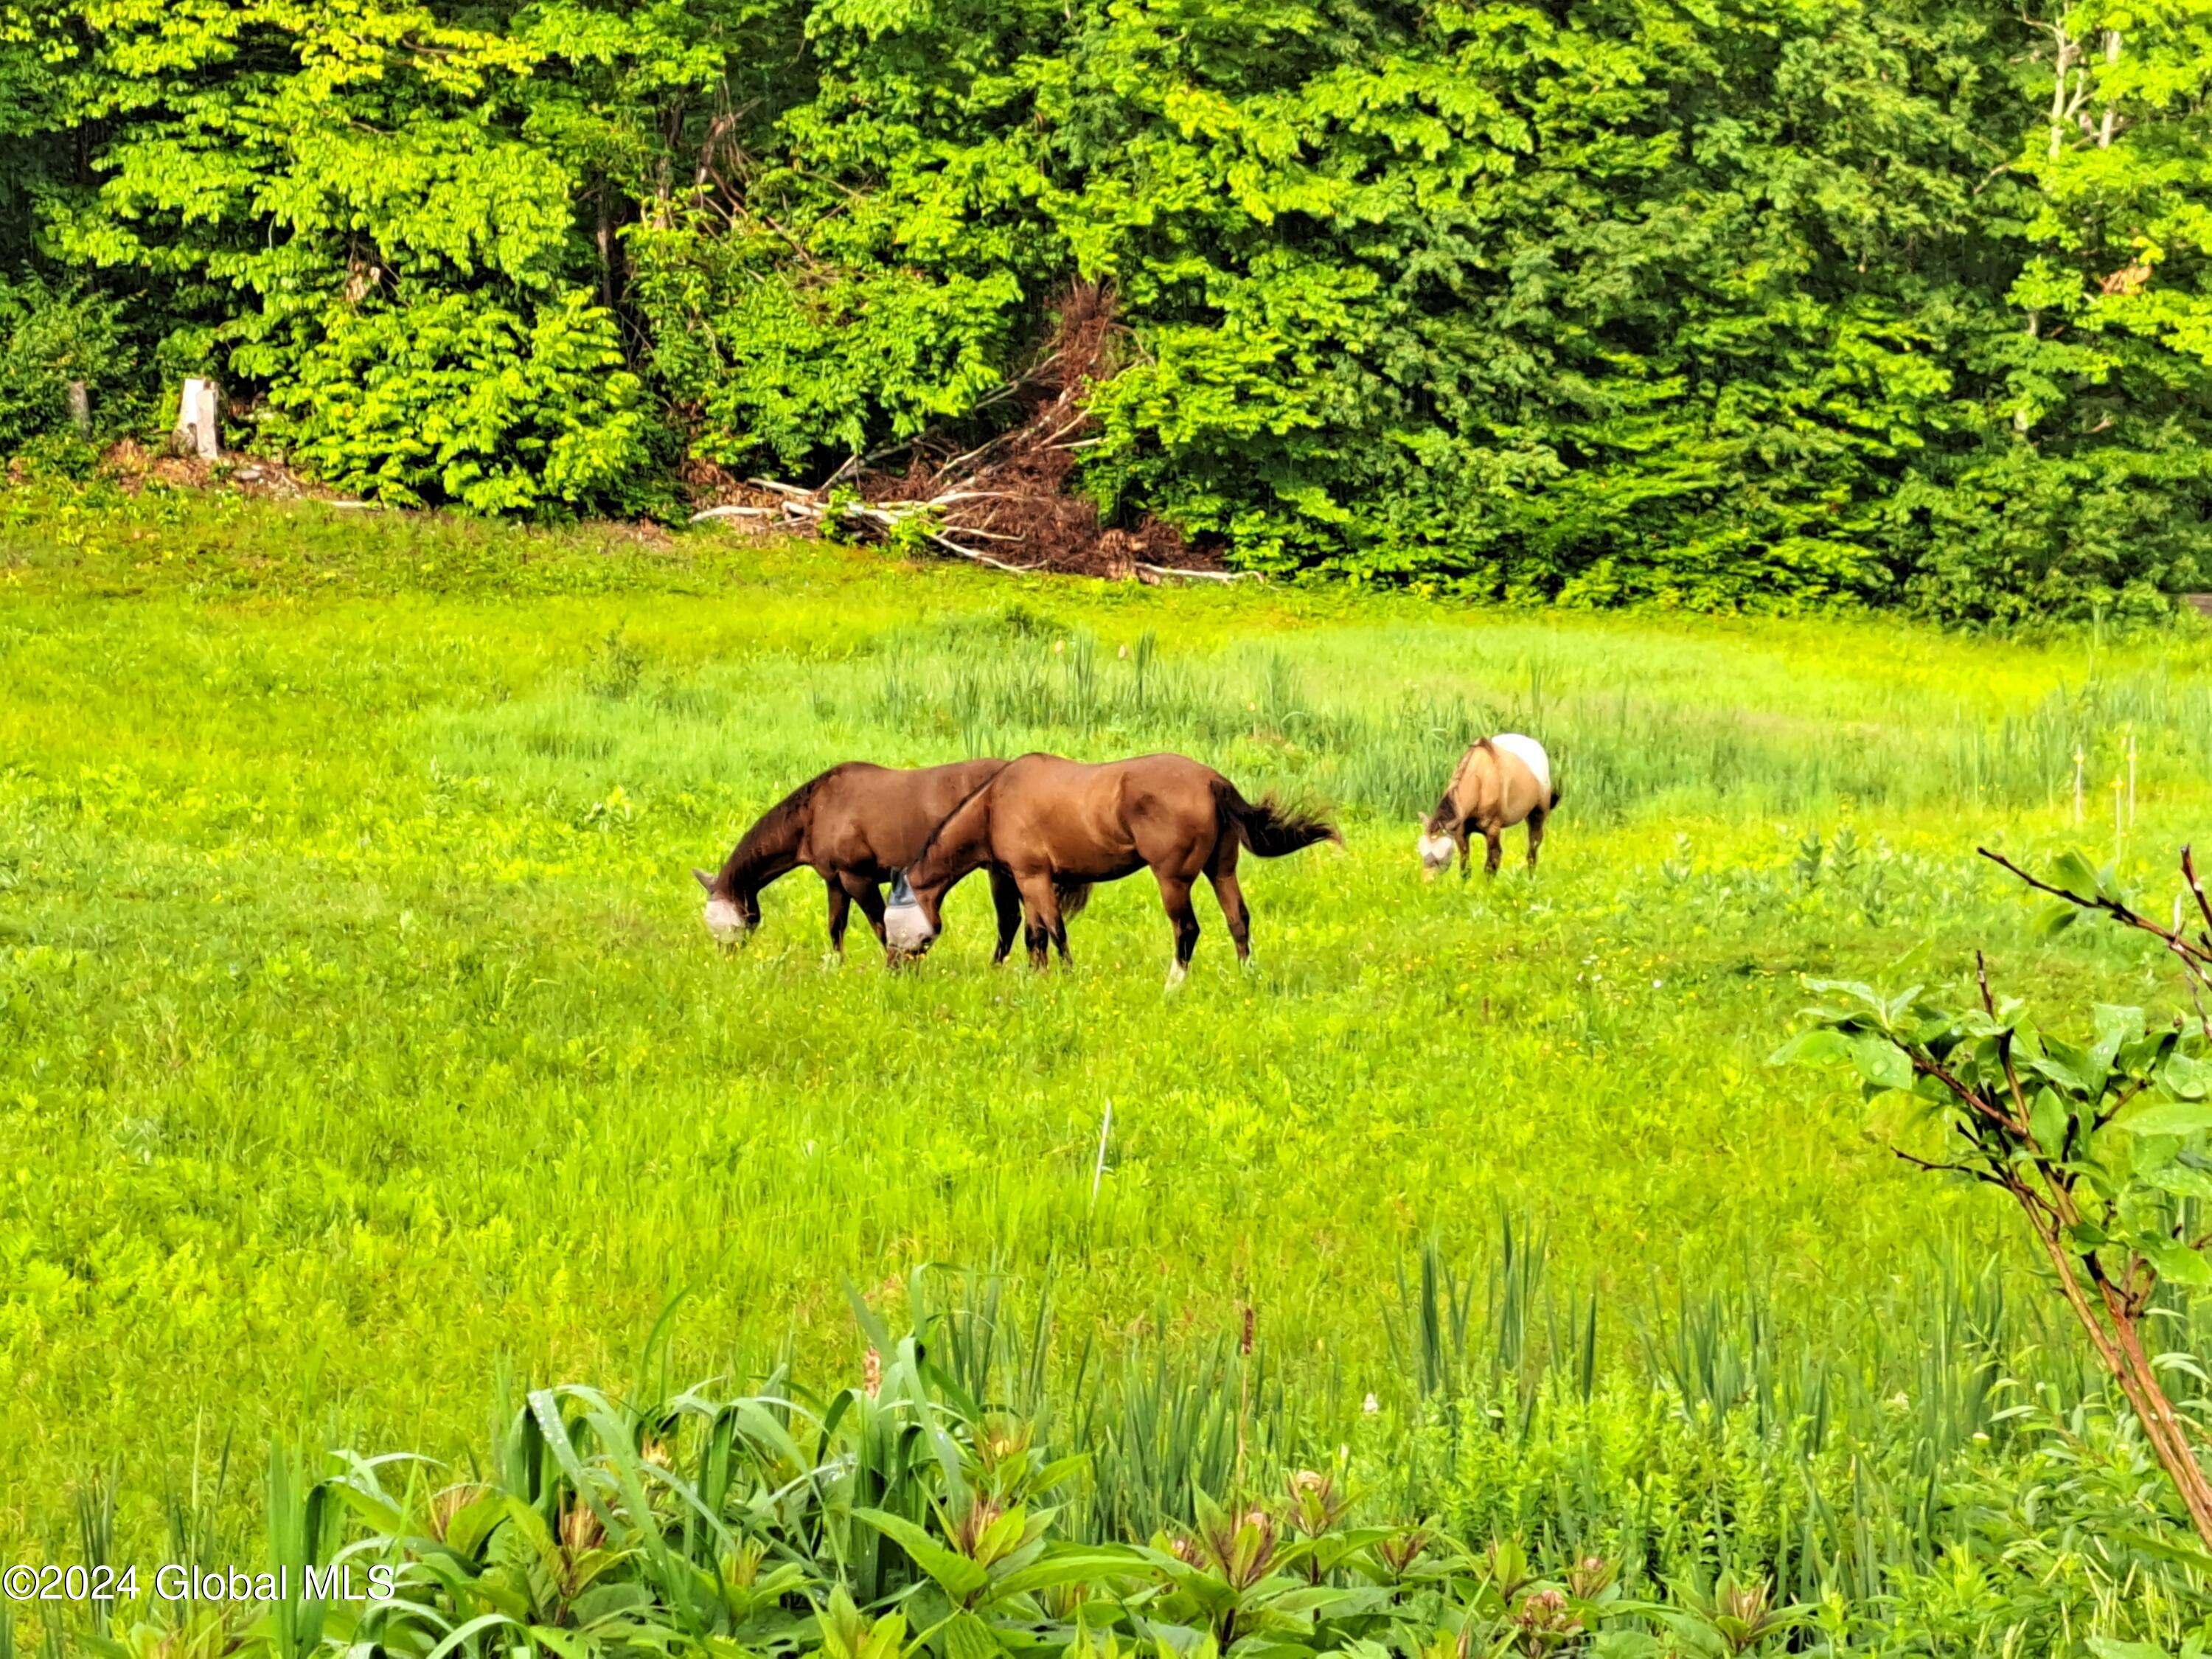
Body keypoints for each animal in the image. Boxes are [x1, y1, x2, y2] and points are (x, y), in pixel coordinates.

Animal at [693, 759, 1025, 961]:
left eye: (724, 922)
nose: (726, 957)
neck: (815, 811)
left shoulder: (857, 878)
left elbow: (881, 927)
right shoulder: (836, 881)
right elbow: (835, 927)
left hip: (1001, 871)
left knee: (1008, 920)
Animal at [880, 752, 1339, 987]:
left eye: (893, 923)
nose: (893, 968)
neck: (996, 803)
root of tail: (1212, 781)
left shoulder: (1032, 877)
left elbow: (1052, 931)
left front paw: (1064, 978)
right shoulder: (1031, 881)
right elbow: (1036, 935)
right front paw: (1036, 976)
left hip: (1173, 880)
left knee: (1187, 929)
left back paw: (1173, 984)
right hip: (1221, 871)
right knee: (1238, 920)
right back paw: (1246, 977)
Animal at [1417, 734, 1558, 878]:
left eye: (1441, 857)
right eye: (1422, 854)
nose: (1427, 881)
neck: (1481, 782)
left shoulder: (1492, 829)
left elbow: (1492, 865)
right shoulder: (1461, 832)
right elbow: (1465, 868)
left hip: (1537, 815)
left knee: (1533, 851)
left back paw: (1530, 879)